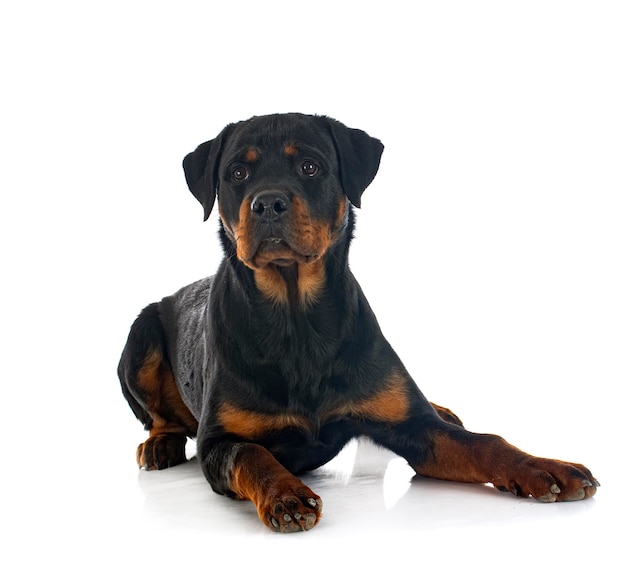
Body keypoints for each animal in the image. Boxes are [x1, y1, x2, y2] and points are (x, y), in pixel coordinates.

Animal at [116, 112, 596, 528]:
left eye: (310, 166)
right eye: (236, 173)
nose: (267, 203)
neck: (297, 322)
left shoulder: (417, 429)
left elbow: (483, 442)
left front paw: (544, 467)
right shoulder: (218, 441)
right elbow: (250, 455)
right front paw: (285, 495)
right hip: (140, 337)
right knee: (160, 417)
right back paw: (160, 444)